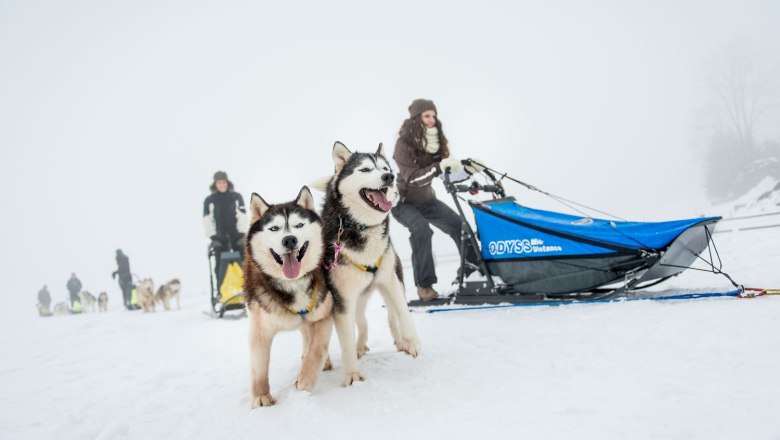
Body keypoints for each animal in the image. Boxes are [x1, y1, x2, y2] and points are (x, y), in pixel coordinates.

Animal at [245, 186, 334, 410]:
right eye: (274, 228)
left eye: (299, 225)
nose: (289, 239)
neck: (293, 282)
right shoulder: (260, 330)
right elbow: (259, 368)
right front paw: (261, 396)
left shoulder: (323, 315)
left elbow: (317, 349)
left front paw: (304, 383)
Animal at [320, 141, 420, 384]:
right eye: (365, 170)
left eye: (384, 168)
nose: (389, 176)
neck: (361, 227)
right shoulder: (343, 300)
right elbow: (346, 340)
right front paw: (352, 375)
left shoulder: (390, 281)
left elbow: (403, 313)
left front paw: (412, 342)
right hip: (352, 300)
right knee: (361, 324)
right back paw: (355, 349)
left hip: (392, 284)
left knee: (391, 316)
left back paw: (400, 342)